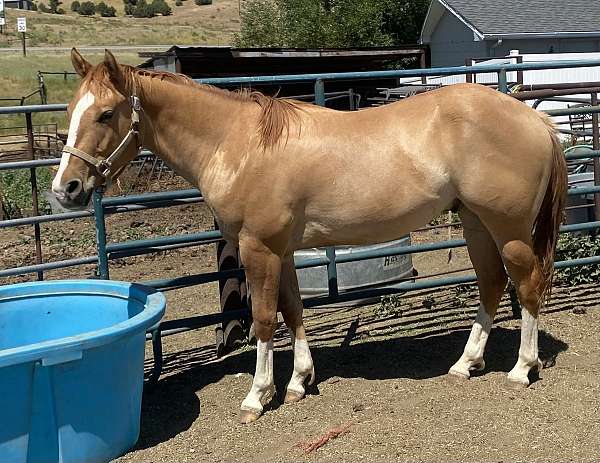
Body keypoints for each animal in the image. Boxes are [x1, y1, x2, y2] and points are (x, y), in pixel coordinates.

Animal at [51, 49, 568, 424]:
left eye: (105, 114)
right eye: (72, 110)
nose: (65, 189)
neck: (239, 144)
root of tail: (535, 120)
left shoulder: (258, 248)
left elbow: (264, 319)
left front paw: (258, 396)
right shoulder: (280, 251)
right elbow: (293, 310)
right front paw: (299, 381)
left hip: (507, 228)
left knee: (526, 285)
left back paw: (522, 369)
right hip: (475, 222)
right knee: (491, 283)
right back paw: (466, 363)